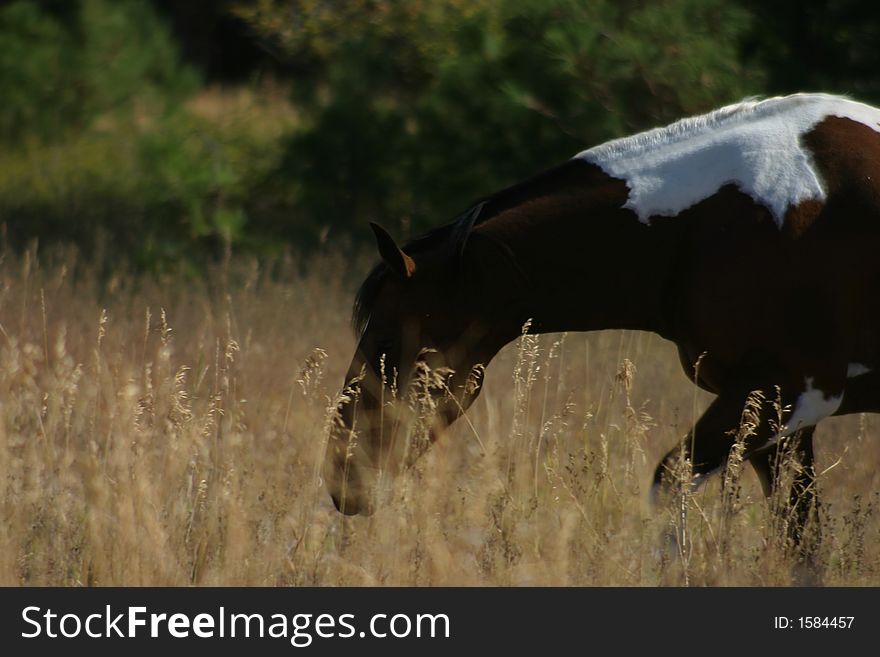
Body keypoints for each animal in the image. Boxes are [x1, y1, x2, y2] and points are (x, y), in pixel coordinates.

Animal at [324, 93, 880, 560]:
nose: (343, 477)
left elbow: (670, 486)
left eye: (391, 341)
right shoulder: (782, 419)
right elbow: (799, 546)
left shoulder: (788, 390)